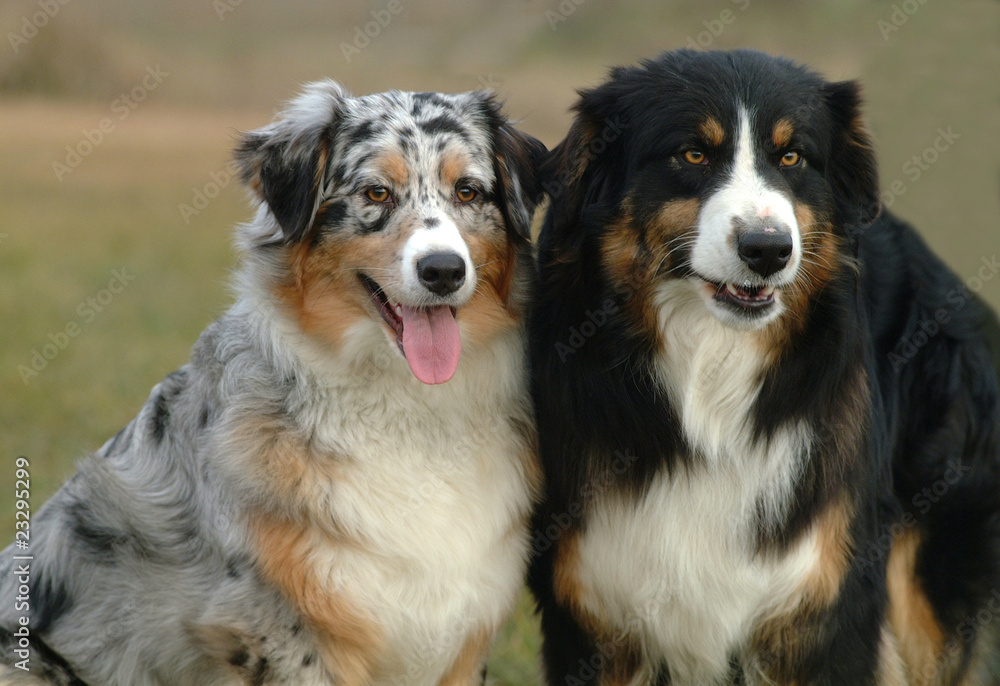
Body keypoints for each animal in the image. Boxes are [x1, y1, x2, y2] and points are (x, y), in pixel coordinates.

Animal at [528, 49, 1000, 686]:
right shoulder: (591, 610)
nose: (769, 250)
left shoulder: (824, 602)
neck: (711, 375)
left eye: (792, 157)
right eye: (693, 154)